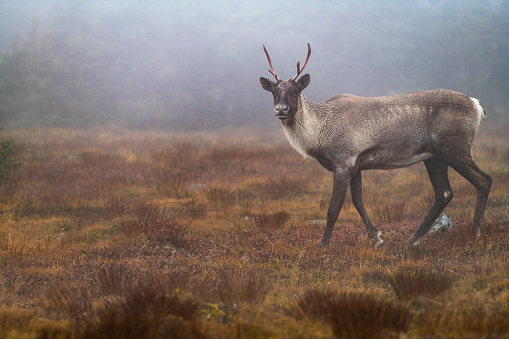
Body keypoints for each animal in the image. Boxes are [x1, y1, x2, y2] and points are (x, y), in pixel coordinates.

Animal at [260, 43, 490, 248]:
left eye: (296, 91)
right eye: (273, 92)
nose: (281, 109)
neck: (319, 133)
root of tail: (477, 105)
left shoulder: (343, 161)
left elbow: (333, 209)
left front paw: (323, 245)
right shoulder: (356, 165)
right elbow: (358, 201)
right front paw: (377, 239)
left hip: (455, 149)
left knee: (483, 181)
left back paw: (475, 233)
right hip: (434, 157)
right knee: (444, 193)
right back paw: (412, 240)